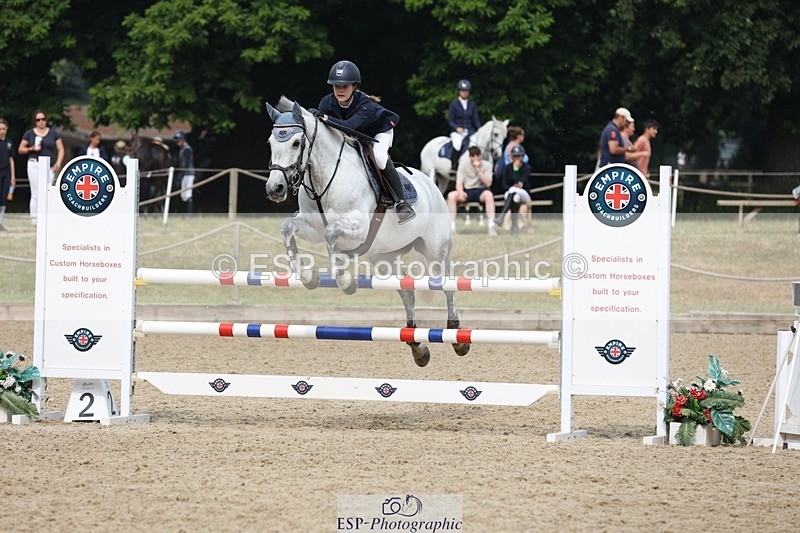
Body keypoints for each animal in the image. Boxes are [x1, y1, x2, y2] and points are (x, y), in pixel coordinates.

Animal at [264, 96, 470, 367]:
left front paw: (345, 281)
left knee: (448, 285)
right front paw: (308, 277)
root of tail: (431, 185)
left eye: (297, 142)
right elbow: (288, 228)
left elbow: (331, 234)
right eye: (270, 142)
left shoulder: (358, 226)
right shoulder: (311, 226)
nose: (275, 189)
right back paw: (417, 347)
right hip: (384, 257)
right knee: (407, 291)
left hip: (436, 250)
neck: (324, 176)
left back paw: (457, 337)